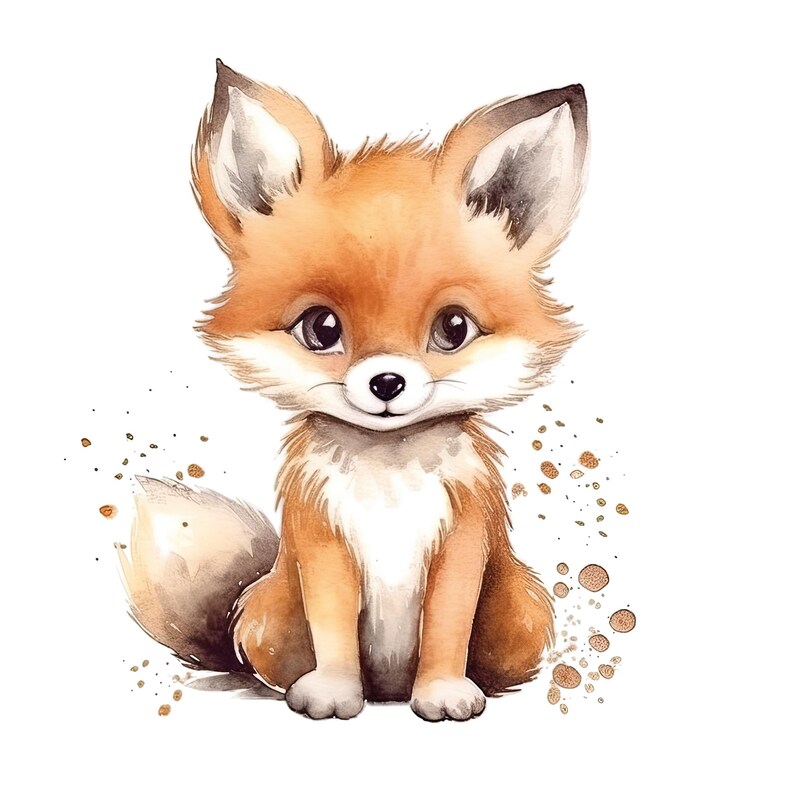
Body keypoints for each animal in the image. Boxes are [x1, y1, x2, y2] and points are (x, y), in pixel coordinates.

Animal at [120, 60, 588, 721]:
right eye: (321, 328)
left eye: (453, 328)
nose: (386, 380)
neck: (387, 477)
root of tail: (388, 690)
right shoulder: (324, 542)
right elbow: (334, 629)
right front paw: (334, 693)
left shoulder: (461, 542)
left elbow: (447, 628)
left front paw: (443, 693)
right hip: (270, 617)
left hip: (520, 612)